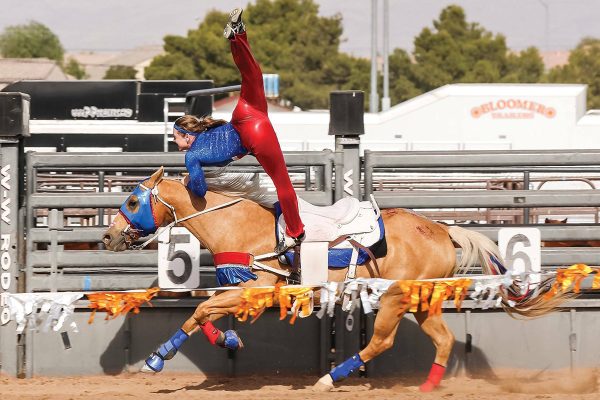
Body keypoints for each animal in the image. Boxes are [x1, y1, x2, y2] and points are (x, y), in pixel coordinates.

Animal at [102, 167, 556, 392]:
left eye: (132, 200)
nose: (108, 236)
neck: (243, 227)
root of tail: (443, 230)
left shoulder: (256, 290)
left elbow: (200, 309)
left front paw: (157, 359)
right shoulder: (242, 293)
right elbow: (204, 312)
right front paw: (228, 339)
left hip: (396, 298)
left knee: (381, 341)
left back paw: (328, 379)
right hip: (423, 301)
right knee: (443, 341)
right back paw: (427, 388)